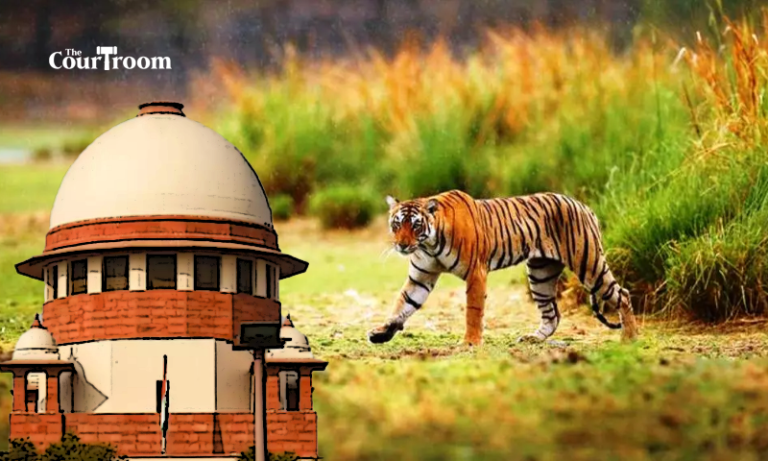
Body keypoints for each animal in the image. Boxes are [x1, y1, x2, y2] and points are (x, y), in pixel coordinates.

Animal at [367, 189, 639, 346]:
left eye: (415, 225)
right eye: (396, 224)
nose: (402, 245)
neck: (429, 244)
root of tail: (584, 206)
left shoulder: (476, 273)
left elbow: (473, 311)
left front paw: (470, 343)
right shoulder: (421, 277)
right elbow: (402, 305)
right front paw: (382, 333)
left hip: (588, 263)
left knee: (623, 294)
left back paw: (629, 337)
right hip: (540, 274)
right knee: (552, 314)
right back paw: (533, 338)